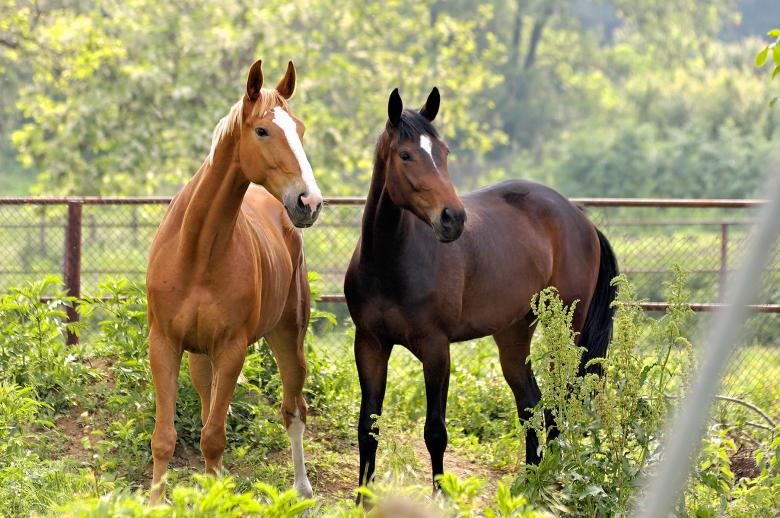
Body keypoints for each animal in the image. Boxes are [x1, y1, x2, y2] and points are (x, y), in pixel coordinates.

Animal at [146, 59, 322, 503]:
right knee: (209, 408)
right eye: (262, 130)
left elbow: (213, 437)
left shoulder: (231, 349)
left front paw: (215, 497)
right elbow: (166, 437)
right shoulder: (165, 344)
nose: (309, 202)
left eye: (300, 129)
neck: (197, 251)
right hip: (199, 357)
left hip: (288, 338)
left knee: (294, 410)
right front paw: (155, 501)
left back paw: (302, 488)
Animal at [344, 87, 618, 491]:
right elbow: (368, 429)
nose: (453, 218)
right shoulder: (369, 344)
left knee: (559, 402)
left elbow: (435, 432)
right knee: (531, 404)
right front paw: (363, 498)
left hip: (566, 329)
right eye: (406, 155)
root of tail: (579, 217)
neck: (388, 264)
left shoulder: (436, 349)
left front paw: (442, 496)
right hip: (514, 332)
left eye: (443, 152)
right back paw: (530, 484)